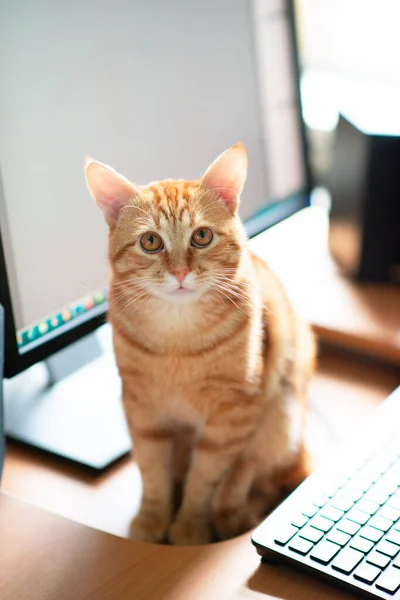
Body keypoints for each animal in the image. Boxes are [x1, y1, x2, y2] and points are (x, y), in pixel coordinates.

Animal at [85, 143, 316, 548]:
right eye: (150, 242)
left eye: (202, 236)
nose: (179, 272)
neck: (178, 343)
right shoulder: (142, 410)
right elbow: (153, 474)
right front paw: (153, 517)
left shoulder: (230, 417)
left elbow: (203, 479)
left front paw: (190, 525)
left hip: (279, 417)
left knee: (248, 476)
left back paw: (233, 515)